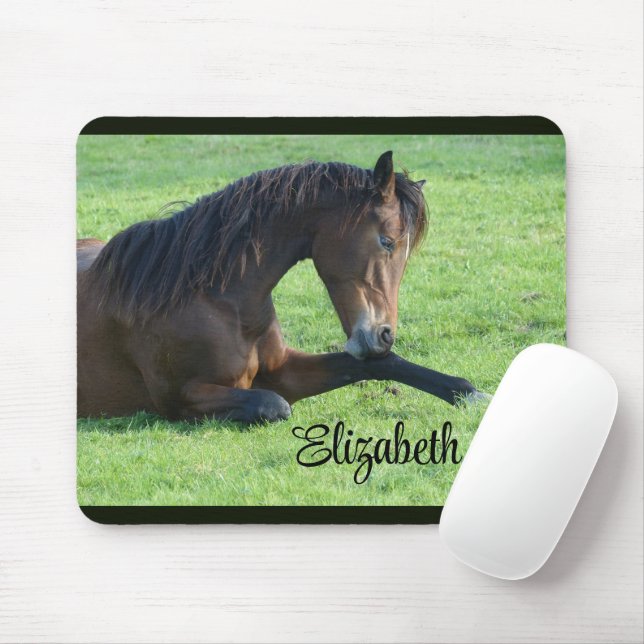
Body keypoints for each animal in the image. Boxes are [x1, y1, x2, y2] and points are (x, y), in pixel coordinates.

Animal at [77, 151, 482, 424]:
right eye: (387, 241)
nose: (384, 335)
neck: (217, 299)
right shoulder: (180, 398)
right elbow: (273, 404)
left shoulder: (285, 369)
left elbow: (383, 364)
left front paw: (472, 393)